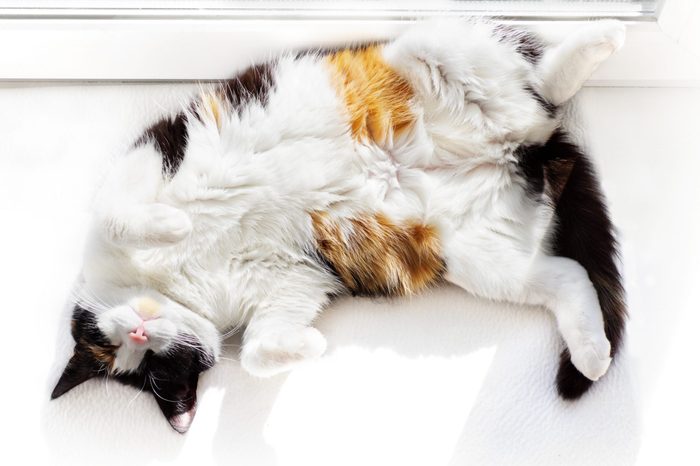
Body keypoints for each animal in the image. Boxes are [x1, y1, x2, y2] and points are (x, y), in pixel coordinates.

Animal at [52, 18, 628, 434]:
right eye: (151, 367)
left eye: (113, 343)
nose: (139, 329)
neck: (177, 281)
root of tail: (525, 151)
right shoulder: (289, 278)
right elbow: (258, 351)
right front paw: (309, 347)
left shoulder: (147, 155)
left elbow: (115, 215)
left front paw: (172, 224)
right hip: (477, 257)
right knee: (568, 274)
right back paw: (592, 355)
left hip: (427, 51)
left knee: (538, 87)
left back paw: (596, 42)